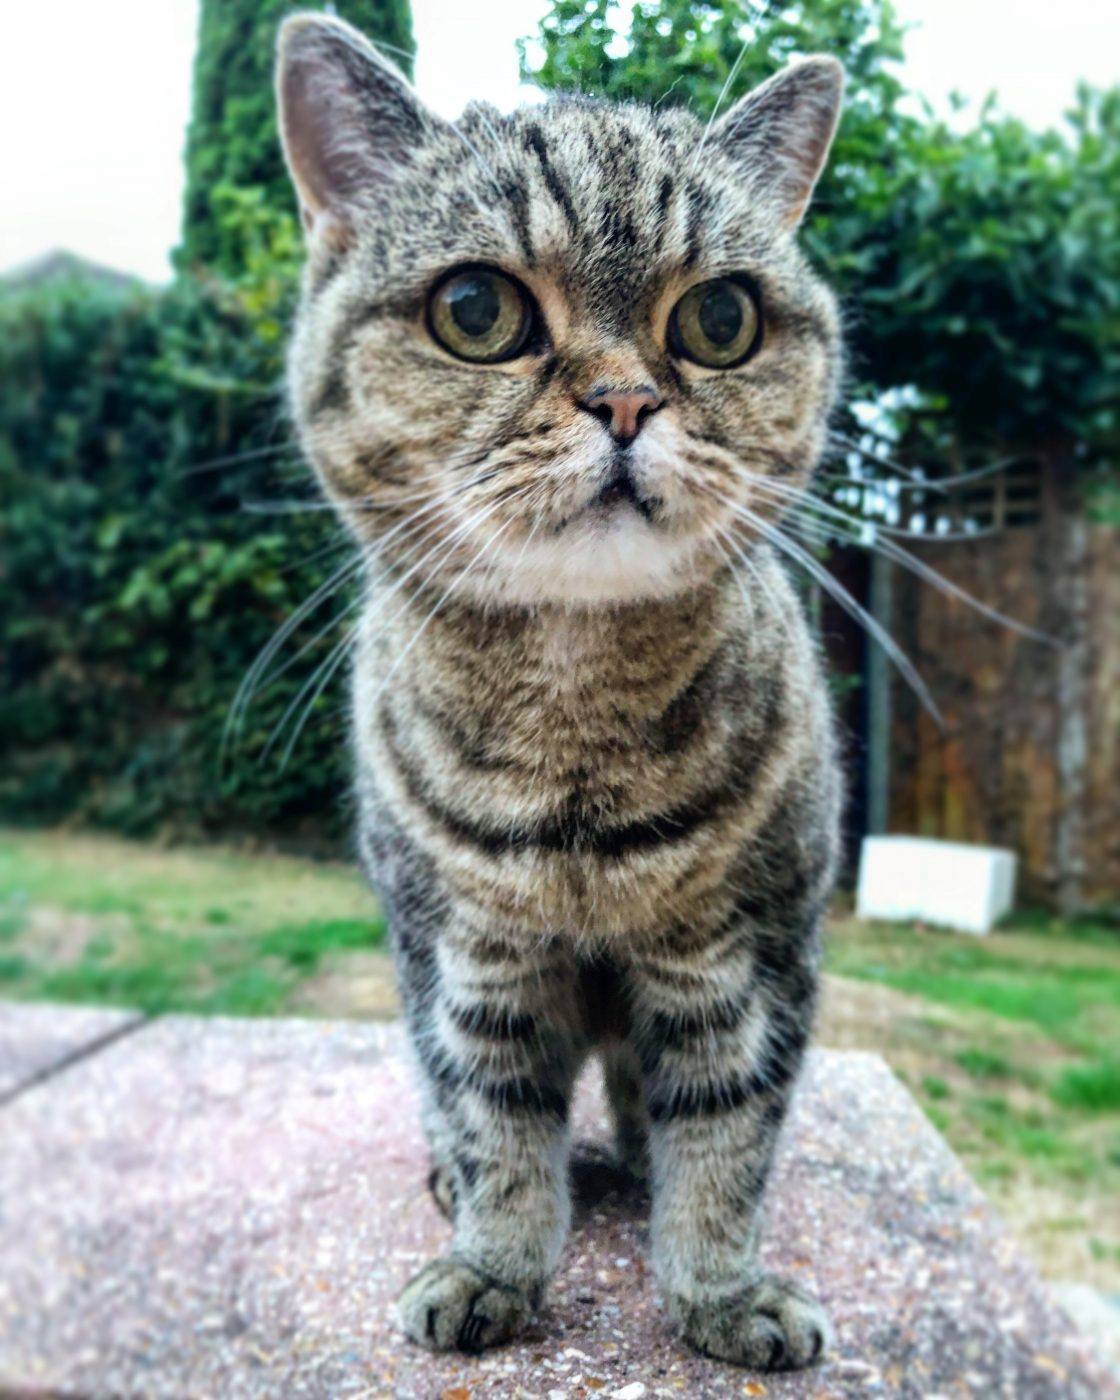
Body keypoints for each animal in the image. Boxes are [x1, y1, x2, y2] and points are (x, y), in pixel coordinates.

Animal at [277, 10, 840, 1366]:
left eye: (721, 319)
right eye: (476, 309)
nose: (626, 398)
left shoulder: (748, 956)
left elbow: (726, 1136)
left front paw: (722, 1288)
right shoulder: (466, 960)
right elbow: (497, 1124)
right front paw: (491, 1265)